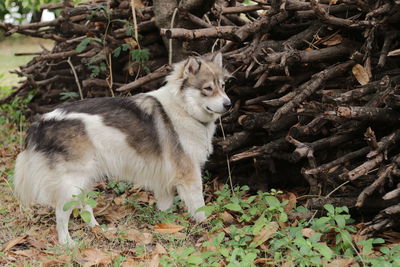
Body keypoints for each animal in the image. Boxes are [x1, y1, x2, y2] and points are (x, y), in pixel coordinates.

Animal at [14, 52, 231, 245]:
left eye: (223, 86)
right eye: (207, 88)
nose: (228, 104)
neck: (183, 107)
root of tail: (43, 121)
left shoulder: (164, 179)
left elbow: (165, 206)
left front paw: (165, 226)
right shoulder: (189, 174)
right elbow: (199, 207)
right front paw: (206, 226)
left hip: (84, 179)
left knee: (86, 208)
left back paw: (98, 230)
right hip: (73, 183)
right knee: (61, 212)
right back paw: (67, 243)